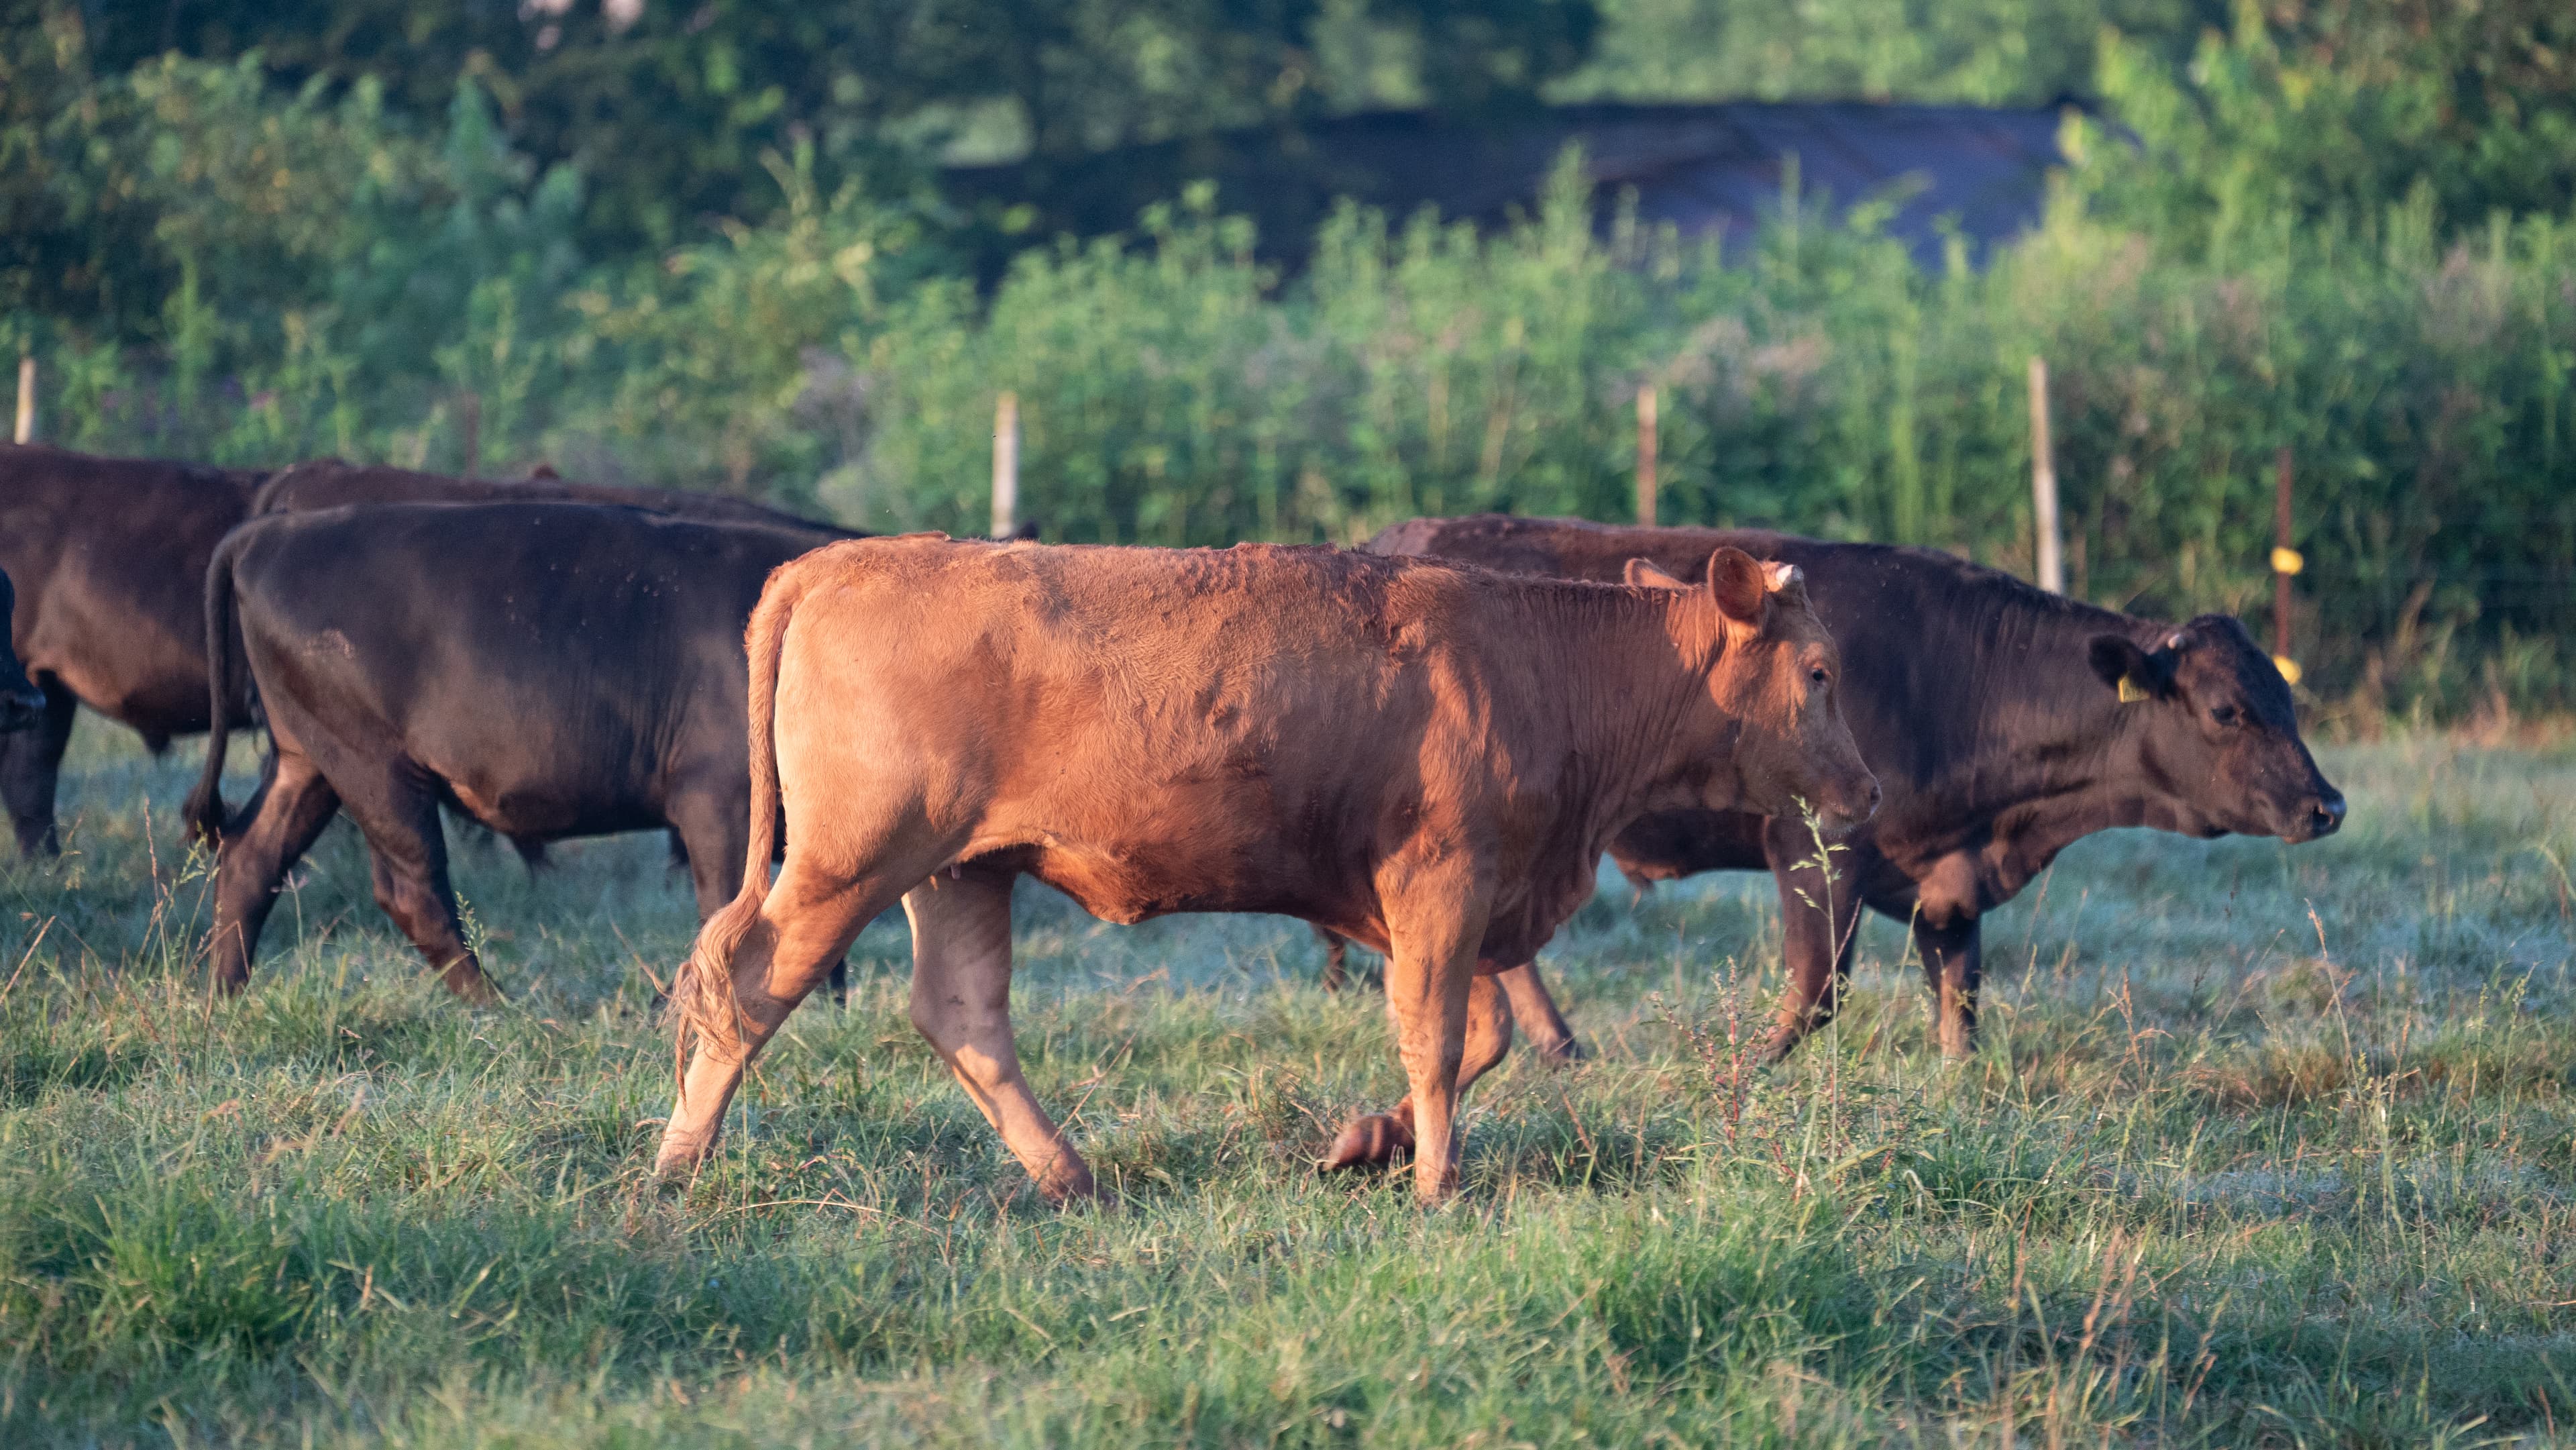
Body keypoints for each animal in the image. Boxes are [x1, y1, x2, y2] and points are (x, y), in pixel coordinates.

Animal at [184, 501, 857, 1000]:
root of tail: (273, 531)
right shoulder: (718, 800)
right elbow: (734, 910)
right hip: (373, 764)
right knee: (412, 889)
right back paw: (497, 1004)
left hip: (307, 760)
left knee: (252, 856)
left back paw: (224, 996)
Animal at [651, 534, 1879, 1206]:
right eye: (1821, 670)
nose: (1869, 790)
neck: (1535, 660)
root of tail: (841, 559)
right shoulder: (1444, 881)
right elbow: (1440, 1040)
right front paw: (1437, 1181)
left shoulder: (1467, 899)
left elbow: (1478, 1032)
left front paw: (1371, 1142)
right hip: (850, 862)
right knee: (747, 989)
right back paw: (671, 1172)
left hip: (963, 869)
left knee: (962, 1015)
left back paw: (1070, 1176)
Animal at [1323, 514, 2346, 1165]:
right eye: (2226, 709)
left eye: (2288, 697)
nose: (2328, 805)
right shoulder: (1814, 848)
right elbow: (1815, 995)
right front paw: (1728, 1081)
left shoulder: (1946, 886)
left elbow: (1959, 1006)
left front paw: (1958, 1096)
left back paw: (1560, 1044)